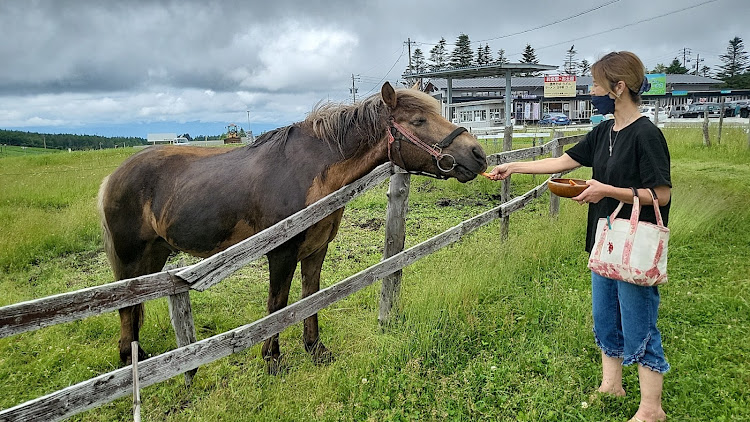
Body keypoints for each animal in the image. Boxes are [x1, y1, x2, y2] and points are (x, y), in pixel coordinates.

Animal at [98, 82, 488, 372]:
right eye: (419, 120)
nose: (478, 155)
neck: (312, 173)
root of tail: (111, 178)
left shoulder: (316, 249)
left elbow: (309, 296)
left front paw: (315, 348)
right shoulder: (281, 253)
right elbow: (278, 304)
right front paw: (272, 358)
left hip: (155, 254)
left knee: (134, 307)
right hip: (131, 257)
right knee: (124, 307)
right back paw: (129, 360)